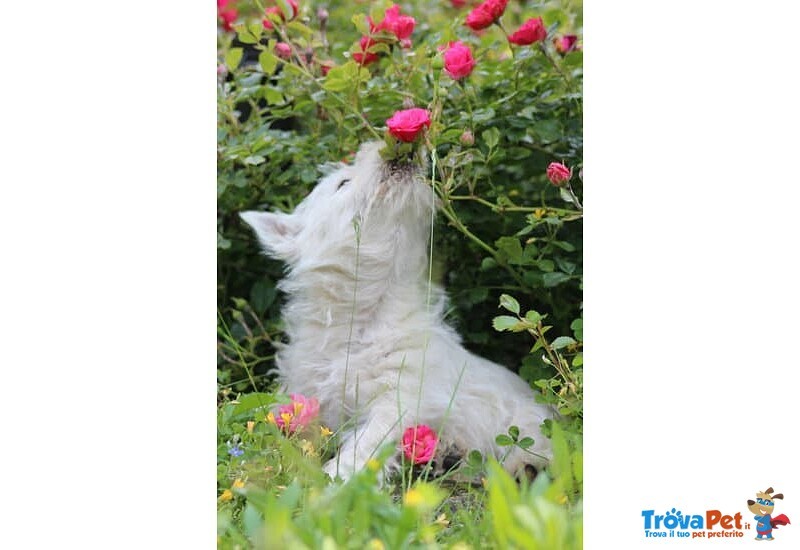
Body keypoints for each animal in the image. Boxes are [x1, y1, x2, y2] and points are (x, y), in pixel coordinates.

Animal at [241, 142, 552, 484]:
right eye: (342, 184)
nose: (381, 147)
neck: (367, 311)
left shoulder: (402, 395)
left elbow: (369, 438)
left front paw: (337, 477)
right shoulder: (307, 389)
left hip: (528, 417)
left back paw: (521, 467)